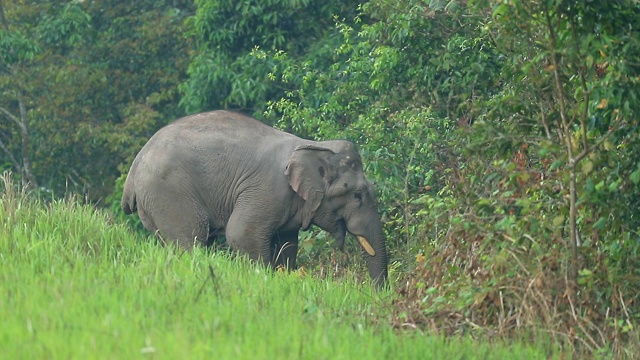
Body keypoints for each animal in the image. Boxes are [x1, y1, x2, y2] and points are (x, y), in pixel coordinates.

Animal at [121, 111, 390, 286]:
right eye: (357, 195)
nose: (376, 293)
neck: (313, 145)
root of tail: (133, 172)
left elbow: (287, 243)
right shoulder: (268, 191)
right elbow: (241, 233)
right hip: (169, 193)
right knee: (190, 240)